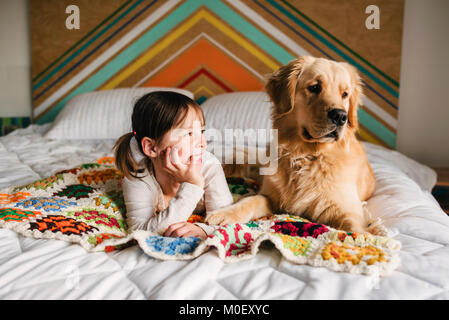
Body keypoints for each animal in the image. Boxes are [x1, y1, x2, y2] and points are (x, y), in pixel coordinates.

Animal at [205, 55, 384, 235]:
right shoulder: (270, 197)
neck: (306, 156)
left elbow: (357, 230)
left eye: (345, 94)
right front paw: (224, 213)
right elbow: (250, 200)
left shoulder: (348, 211)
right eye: (314, 87)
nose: (341, 116)